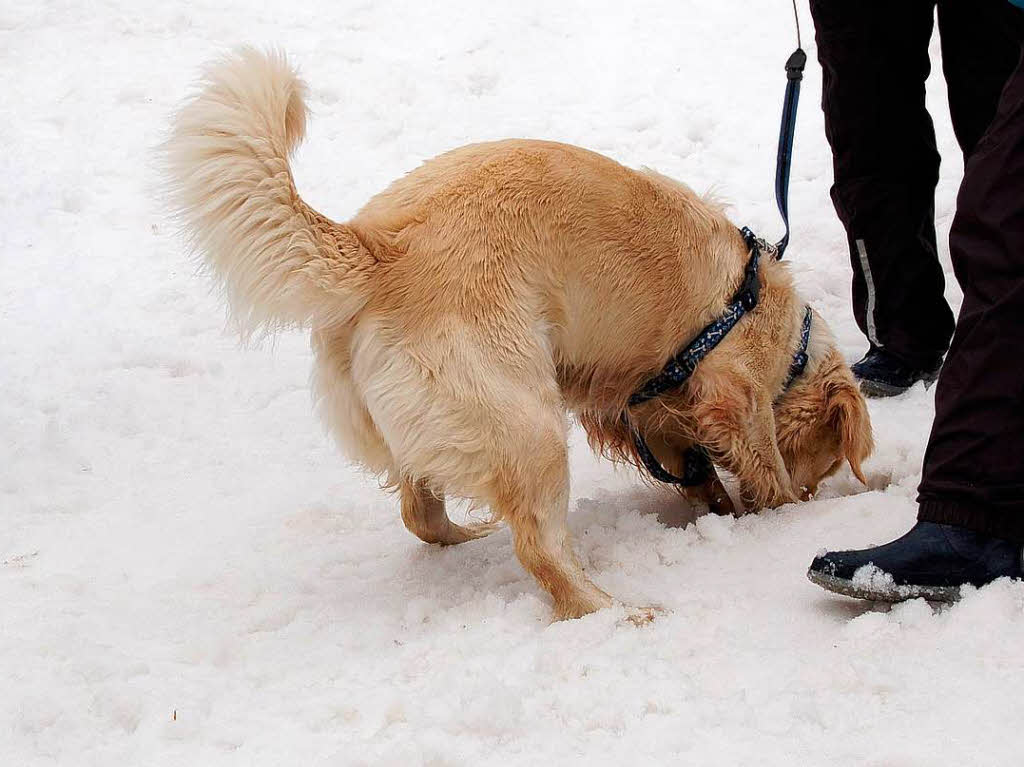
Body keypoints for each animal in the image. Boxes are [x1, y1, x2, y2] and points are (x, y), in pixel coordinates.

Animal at [167, 50, 872, 618]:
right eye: (826, 460)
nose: (819, 489)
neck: (776, 329)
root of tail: (381, 249)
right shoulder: (733, 390)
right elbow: (762, 460)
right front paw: (784, 509)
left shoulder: (645, 404)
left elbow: (692, 460)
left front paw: (722, 503)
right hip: (528, 427)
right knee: (541, 549)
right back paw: (616, 611)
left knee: (420, 511)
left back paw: (468, 534)